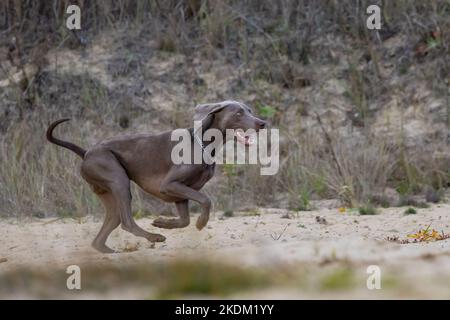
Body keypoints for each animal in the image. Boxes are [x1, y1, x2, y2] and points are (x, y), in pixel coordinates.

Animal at [47, 100, 266, 252]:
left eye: (250, 110)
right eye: (238, 113)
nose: (262, 123)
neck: (203, 144)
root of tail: (86, 153)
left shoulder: (181, 193)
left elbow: (185, 220)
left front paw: (162, 223)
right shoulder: (170, 185)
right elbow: (206, 200)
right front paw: (201, 223)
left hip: (108, 192)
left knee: (109, 226)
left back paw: (110, 251)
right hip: (118, 180)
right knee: (126, 221)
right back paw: (153, 237)